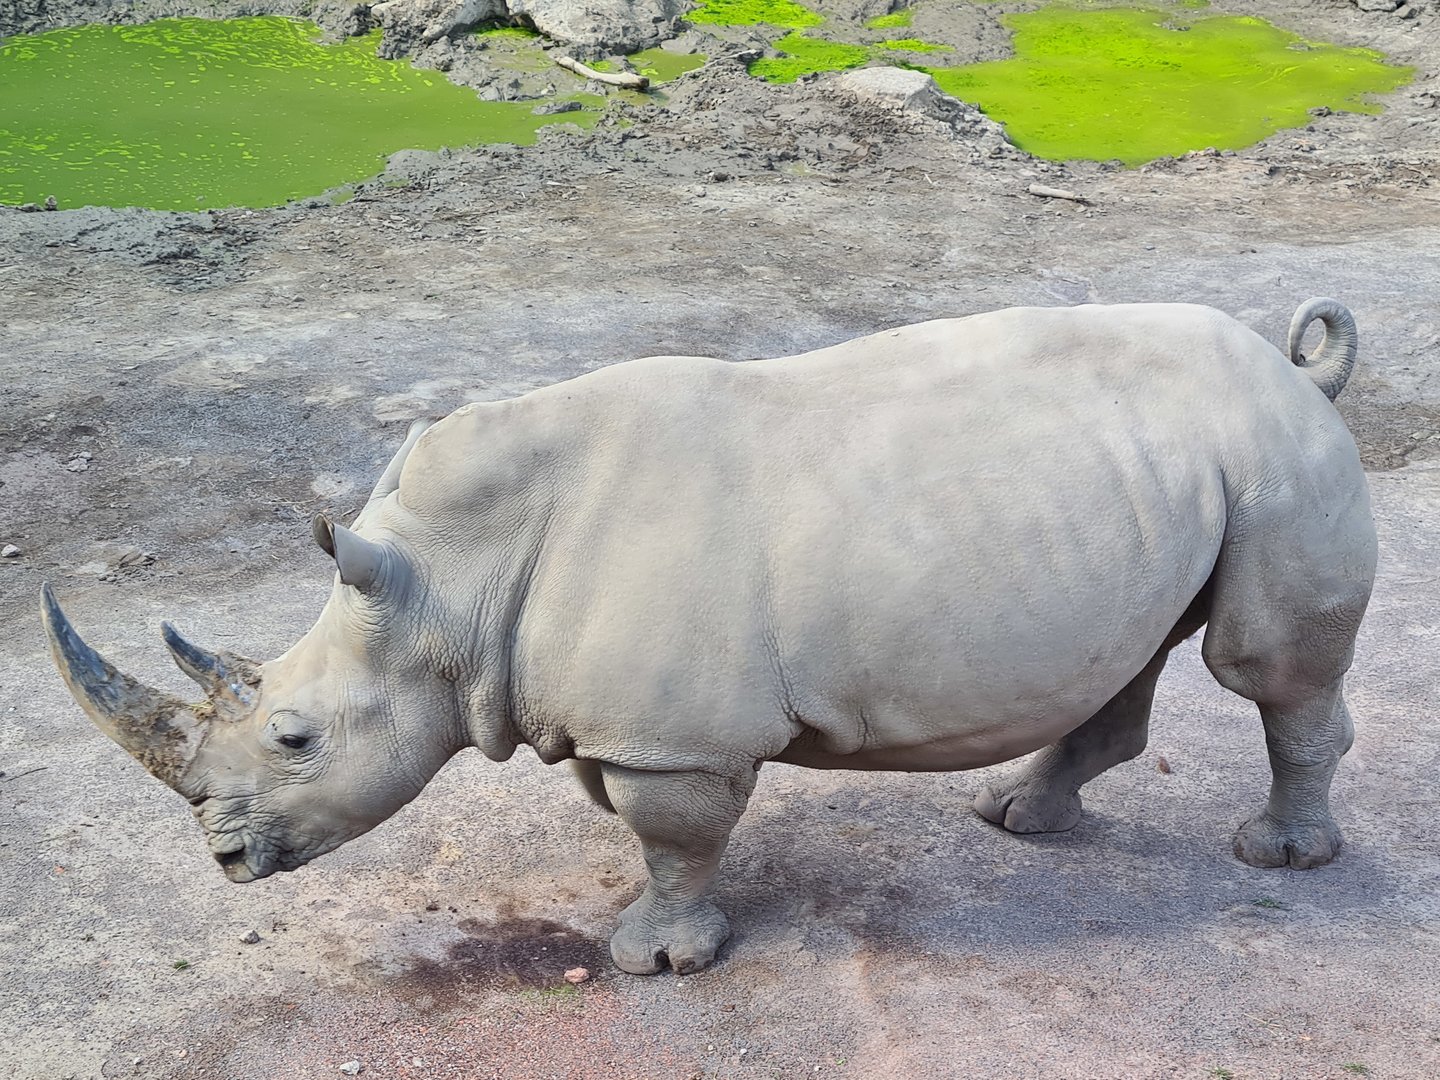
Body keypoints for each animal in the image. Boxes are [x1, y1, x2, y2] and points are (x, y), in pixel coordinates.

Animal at [43, 298, 1376, 975]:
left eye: (295, 738)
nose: (225, 860)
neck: (448, 581)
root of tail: (1298, 370)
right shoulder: (622, 721)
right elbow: (645, 828)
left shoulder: (671, 739)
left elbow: (674, 837)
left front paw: (659, 962)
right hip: (1160, 474)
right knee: (1134, 654)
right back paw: (1018, 820)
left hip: (1274, 456)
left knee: (1260, 669)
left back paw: (1280, 861)